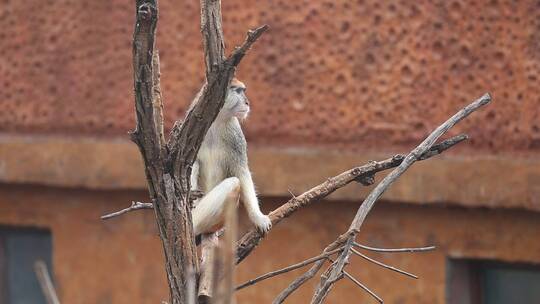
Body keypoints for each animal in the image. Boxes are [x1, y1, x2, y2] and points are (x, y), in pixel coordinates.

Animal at [190, 77, 272, 236]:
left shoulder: (235, 136)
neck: (215, 121)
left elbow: (241, 173)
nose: (247, 103)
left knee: (233, 183)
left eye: (243, 90)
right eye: (238, 91)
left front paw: (258, 217)